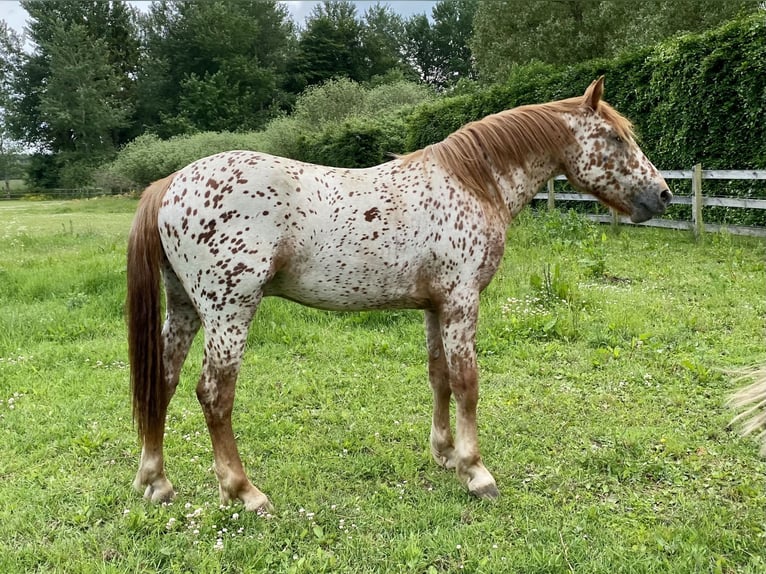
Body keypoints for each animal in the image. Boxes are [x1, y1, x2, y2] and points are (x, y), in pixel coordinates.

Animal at [126, 76, 672, 512]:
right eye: (616, 138)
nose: (663, 195)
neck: (472, 183)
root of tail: (170, 183)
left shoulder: (435, 306)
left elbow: (440, 378)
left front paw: (446, 454)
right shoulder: (461, 301)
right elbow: (468, 383)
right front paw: (476, 472)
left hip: (185, 309)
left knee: (163, 383)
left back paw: (156, 482)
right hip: (229, 313)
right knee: (214, 395)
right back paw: (243, 491)